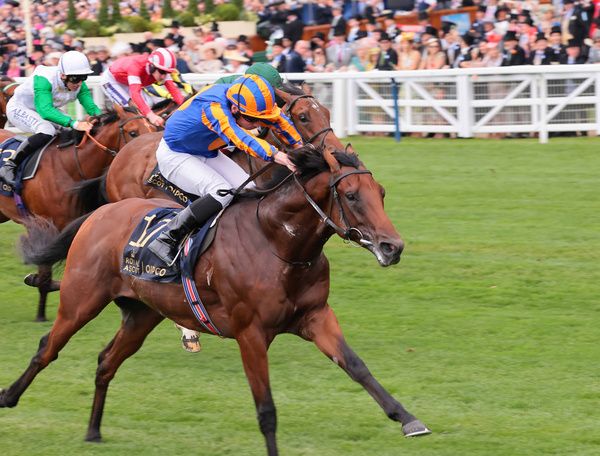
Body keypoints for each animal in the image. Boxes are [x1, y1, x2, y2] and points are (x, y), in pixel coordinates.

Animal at [3, 145, 432, 452]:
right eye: (351, 195)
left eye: (381, 193)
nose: (393, 247)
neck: (279, 245)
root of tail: (100, 213)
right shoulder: (251, 333)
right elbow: (266, 409)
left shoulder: (315, 316)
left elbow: (357, 367)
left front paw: (408, 418)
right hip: (81, 300)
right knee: (47, 348)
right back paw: (9, 396)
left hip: (143, 314)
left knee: (106, 361)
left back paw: (93, 431)